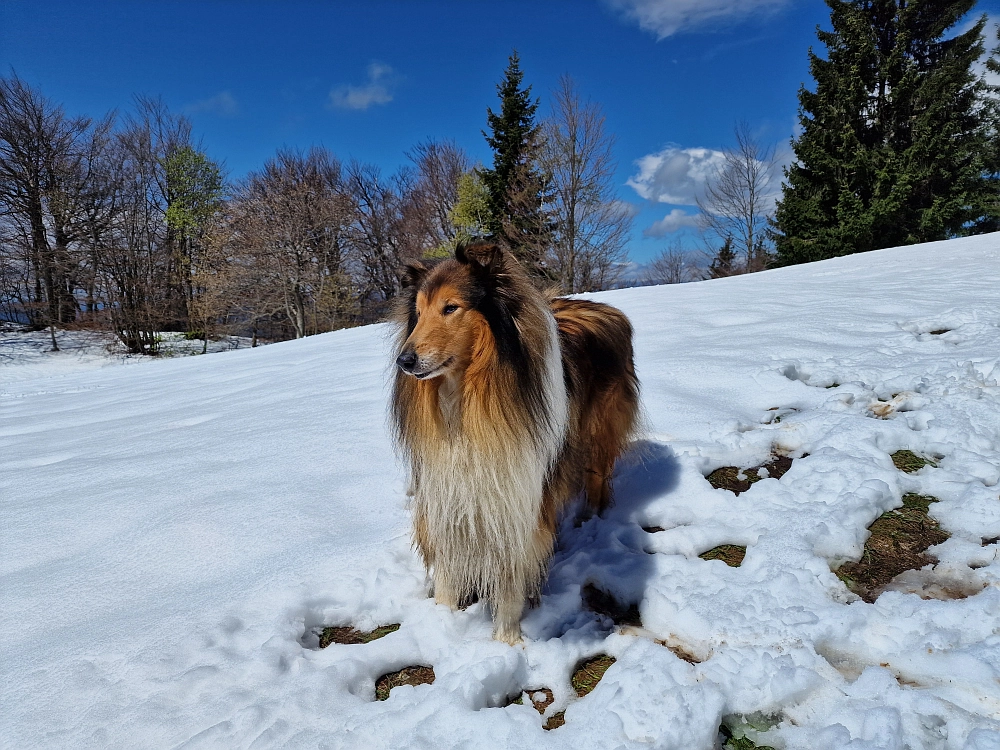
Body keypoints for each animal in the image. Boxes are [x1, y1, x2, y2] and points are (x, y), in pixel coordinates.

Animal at [386, 242, 636, 648]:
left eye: (451, 307)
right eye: (418, 313)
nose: (404, 361)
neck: (466, 399)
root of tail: (609, 309)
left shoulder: (518, 493)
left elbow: (511, 572)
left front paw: (506, 640)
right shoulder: (449, 488)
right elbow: (450, 564)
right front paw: (443, 621)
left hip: (598, 434)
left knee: (596, 479)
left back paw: (588, 522)